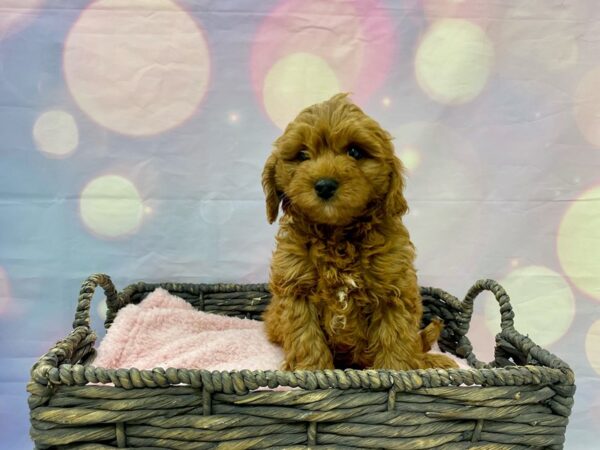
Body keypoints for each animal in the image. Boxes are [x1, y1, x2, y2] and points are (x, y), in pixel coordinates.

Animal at [260, 93, 458, 370]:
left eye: (354, 151)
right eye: (302, 155)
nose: (324, 185)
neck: (337, 235)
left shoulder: (394, 291)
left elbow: (395, 340)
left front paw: (396, 371)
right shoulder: (295, 288)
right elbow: (306, 339)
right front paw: (312, 372)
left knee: (416, 347)